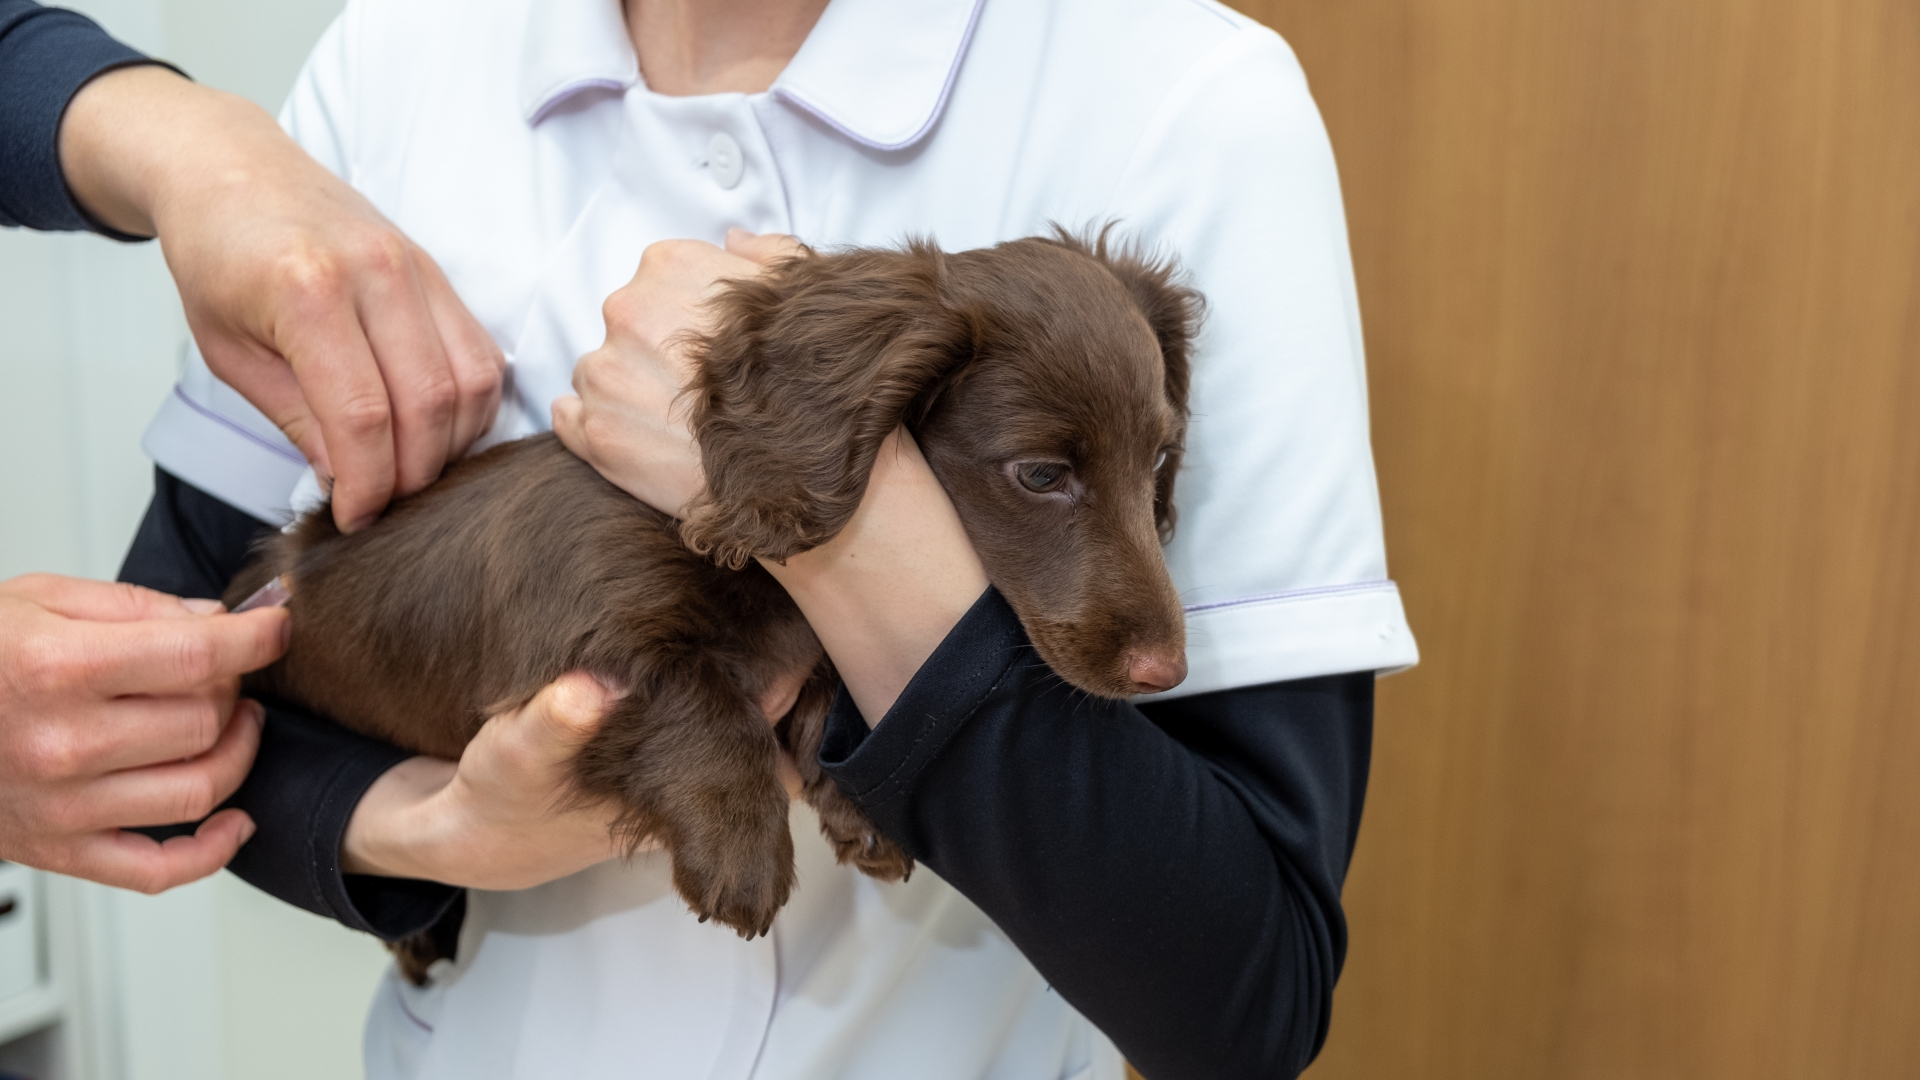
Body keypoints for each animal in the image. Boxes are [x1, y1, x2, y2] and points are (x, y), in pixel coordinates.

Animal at [224, 231, 1198, 972]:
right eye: (1040, 475)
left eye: (1157, 459)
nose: (1167, 673)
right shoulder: (594, 632)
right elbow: (697, 698)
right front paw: (741, 849)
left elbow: (823, 692)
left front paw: (852, 807)